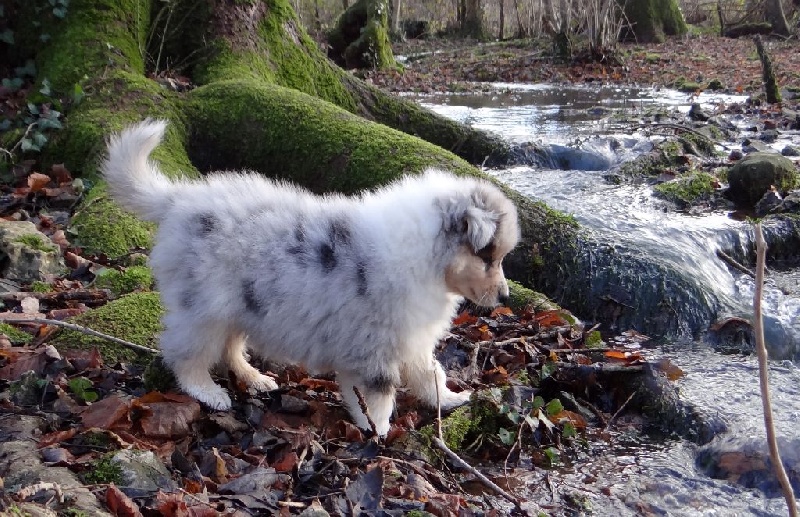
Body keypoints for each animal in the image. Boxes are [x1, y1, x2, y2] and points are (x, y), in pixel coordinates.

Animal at [102, 120, 520, 436]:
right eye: (487, 255)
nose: (505, 297)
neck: (425, 254)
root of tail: (179, 201)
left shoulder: (411, 339)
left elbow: (430, 373)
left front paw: (451, 399)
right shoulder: (375, 347)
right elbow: (380, 394)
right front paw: (379, 431)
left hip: (242, 303)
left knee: (230, 348)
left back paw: (255, 378)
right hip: (204, 308)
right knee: (184, 354)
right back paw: (209, 392)